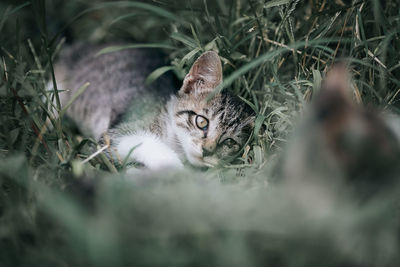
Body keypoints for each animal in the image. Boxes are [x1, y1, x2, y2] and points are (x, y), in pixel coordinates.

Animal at [53, 45, 255, 172]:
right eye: (202, 122)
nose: (207, 151)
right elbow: (139, 141)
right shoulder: (112, 135)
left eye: (229, 142)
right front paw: (175, 171)